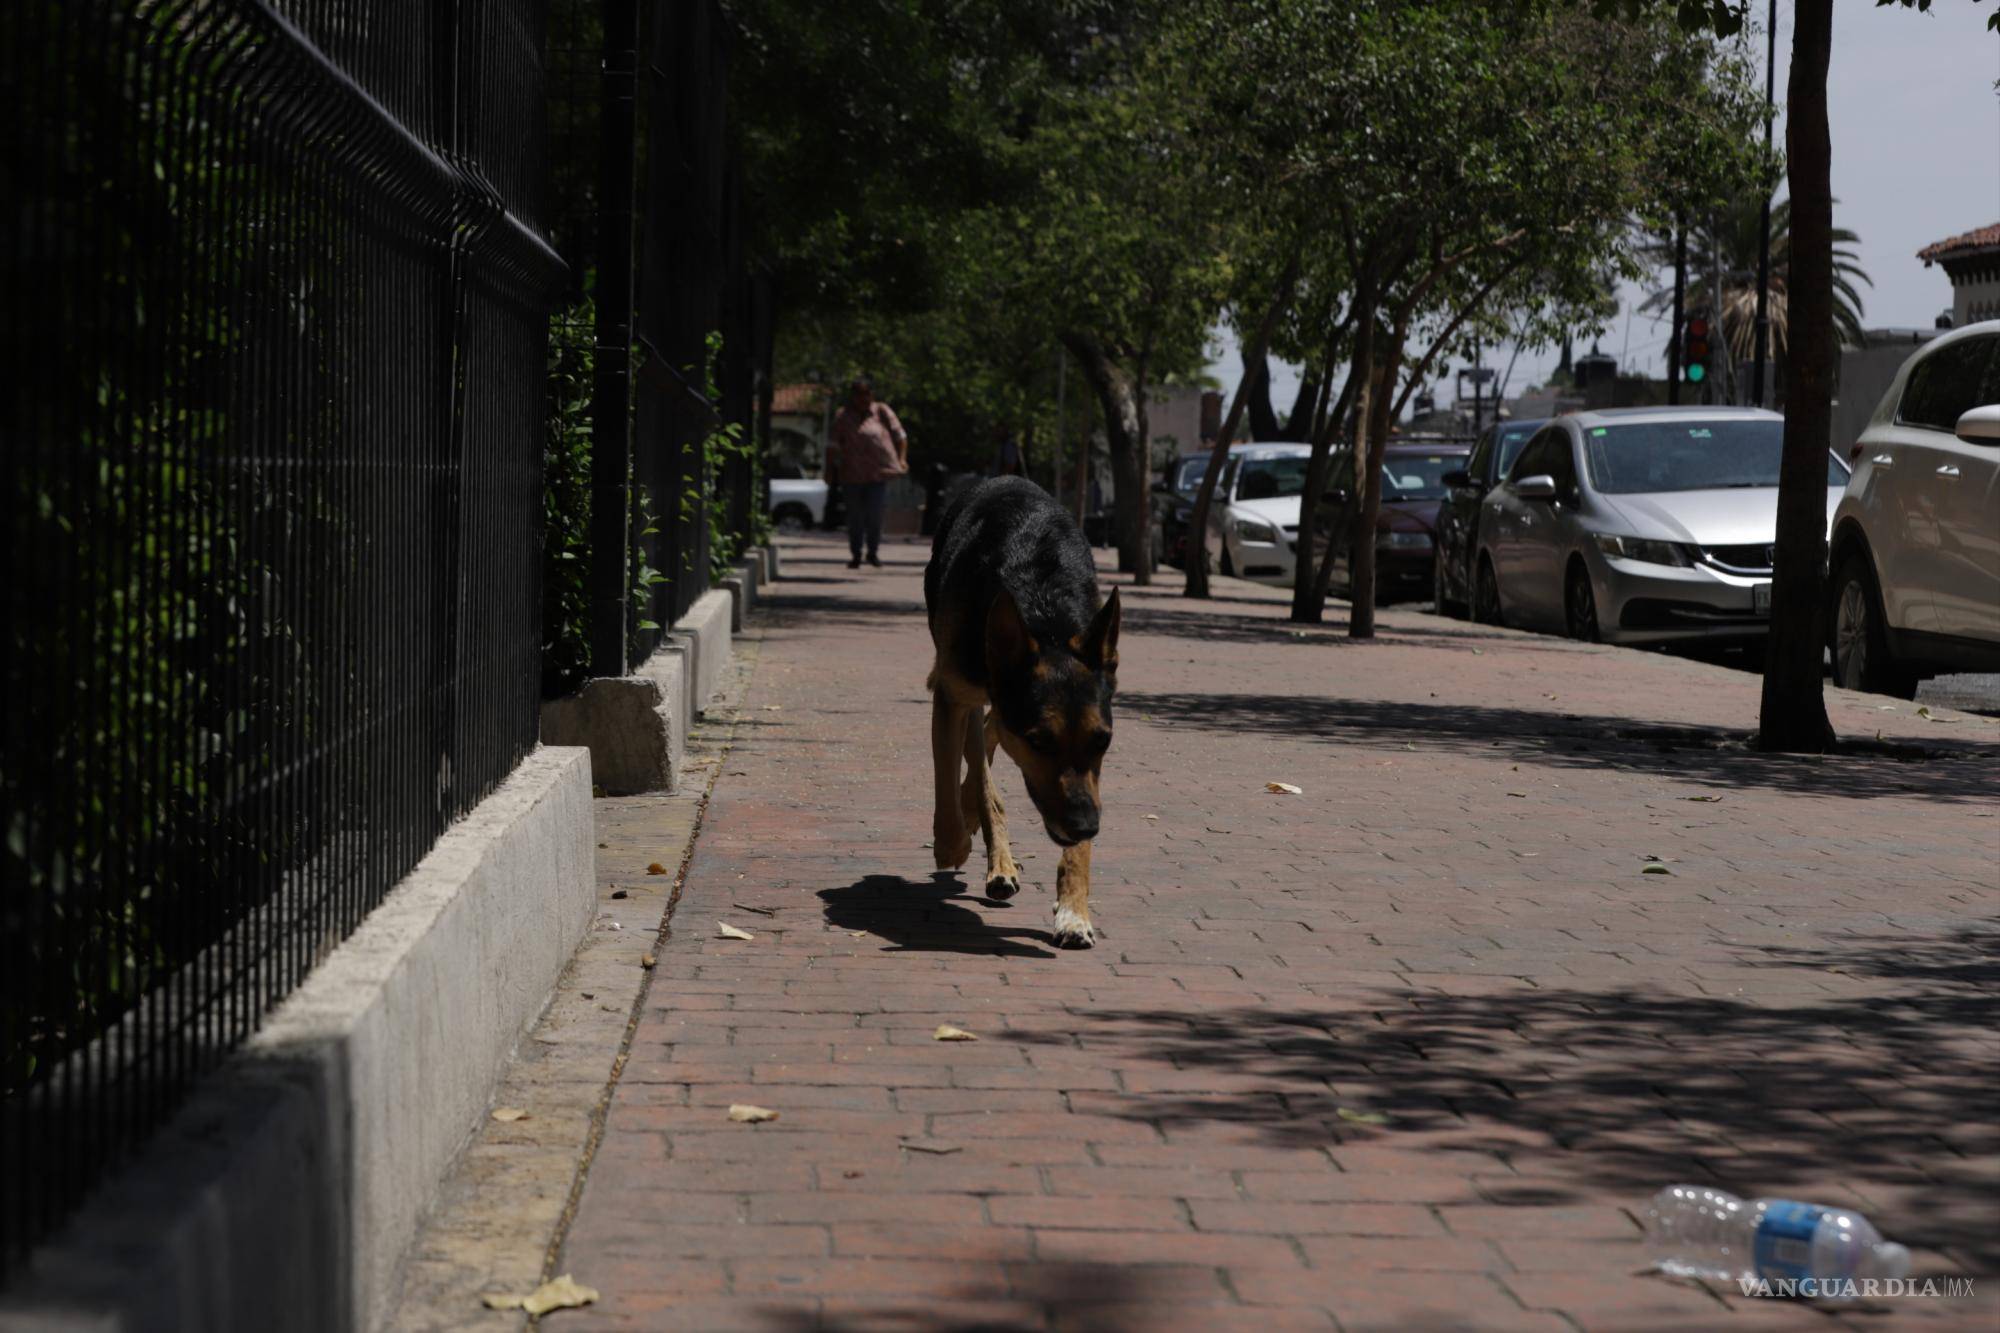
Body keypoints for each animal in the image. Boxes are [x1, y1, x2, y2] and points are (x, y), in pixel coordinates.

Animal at [924, 478, 1120, 944]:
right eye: (1039, 741)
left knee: (989, 733)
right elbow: (959, 780)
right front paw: (952, 840)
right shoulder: (951, 694)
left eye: (1103, 740)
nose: (1086, 825)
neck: (1044, 616)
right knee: (978, 755)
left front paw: (1074, 909)